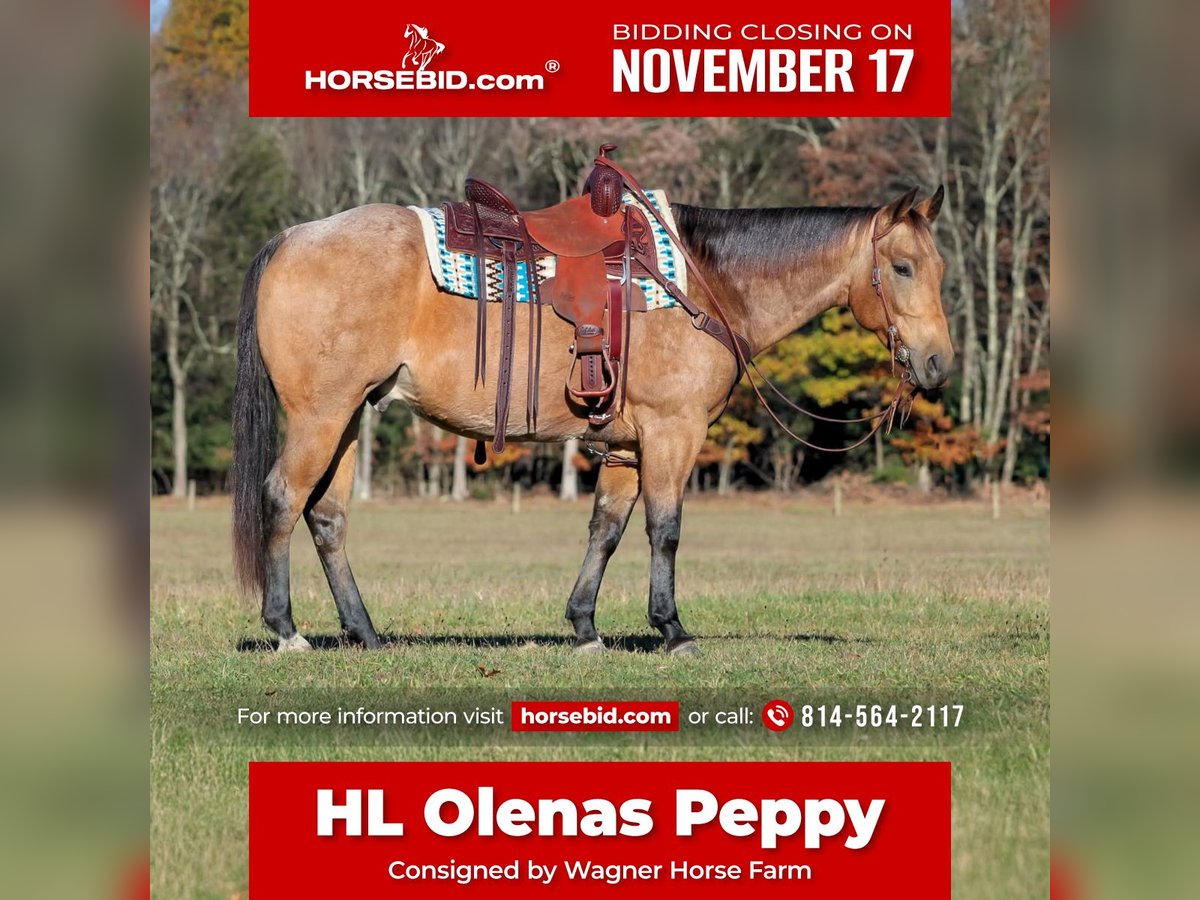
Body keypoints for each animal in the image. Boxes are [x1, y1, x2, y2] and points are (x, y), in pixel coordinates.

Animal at [230, 185, 952, 655]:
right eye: (902, 267)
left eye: (938, 268)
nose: (938, 362)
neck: (706, 282)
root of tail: (293, 238)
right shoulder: (672, 432)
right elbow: (664, 531)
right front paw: (672, 629)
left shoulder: (629, 447)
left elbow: (606, 530)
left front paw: (584, 626)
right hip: (321, 416)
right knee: (284, 498)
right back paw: (286, 629)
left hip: (350, 416)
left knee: (327, 517)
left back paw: (365, 632)